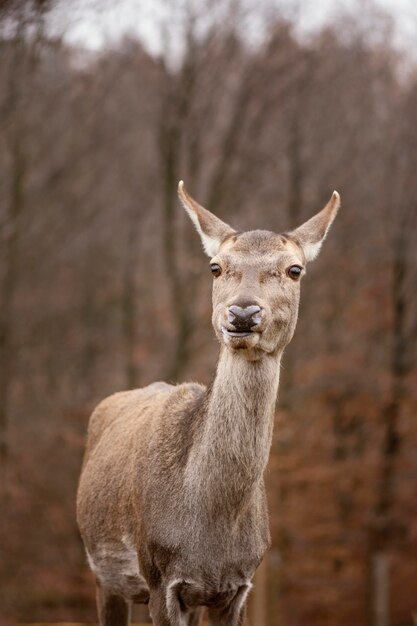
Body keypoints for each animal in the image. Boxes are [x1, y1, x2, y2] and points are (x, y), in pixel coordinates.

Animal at [77, 178, 338, 620]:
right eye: (216, 266)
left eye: (295, 269)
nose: (243, 313)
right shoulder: (160, 578)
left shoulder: (238, 586)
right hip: (103, 574)